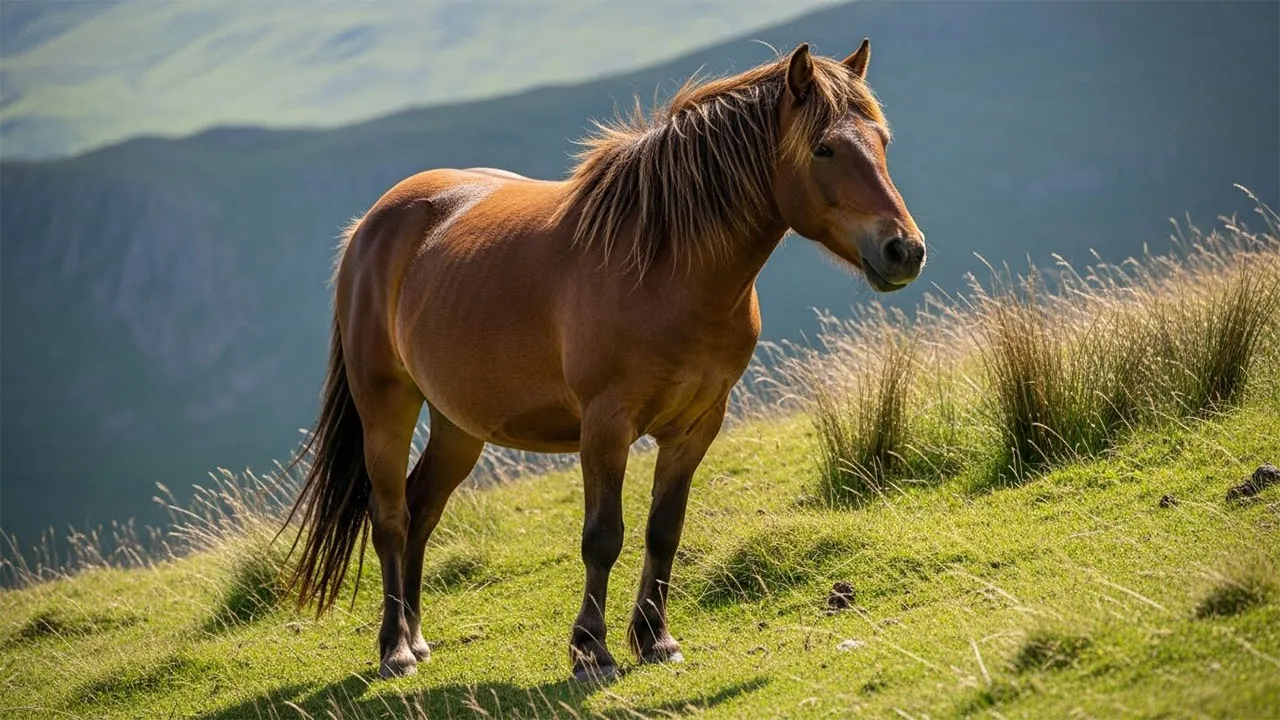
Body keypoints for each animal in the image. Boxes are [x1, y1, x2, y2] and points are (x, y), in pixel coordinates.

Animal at [281, 39, 925, 682]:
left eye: (882, 141)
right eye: (824, 148)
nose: (905, 250)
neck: (664, 268)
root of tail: (372, 225)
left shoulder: (696, 425)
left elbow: (664, 531)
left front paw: (656, 638)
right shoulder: (605, 426)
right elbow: (603, 537)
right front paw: (591, 649)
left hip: (459, 424)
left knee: (421, 510)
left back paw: (416, 639)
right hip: (386, 405)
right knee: (390, 515)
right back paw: (395, 649)